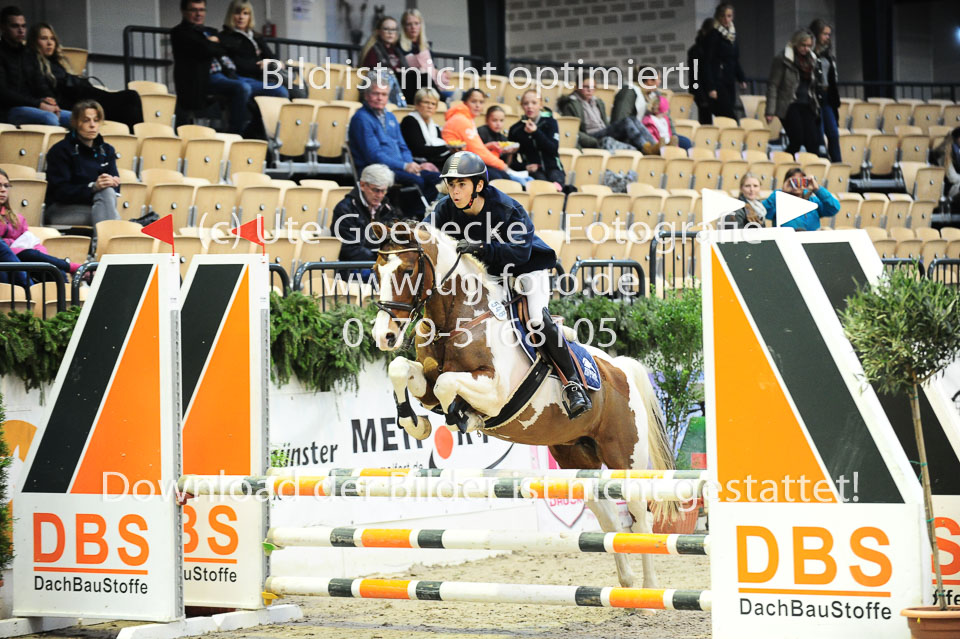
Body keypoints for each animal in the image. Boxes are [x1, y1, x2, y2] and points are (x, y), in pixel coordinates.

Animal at [369, 220, 676, 590]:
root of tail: (620, 369)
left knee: (640, 515)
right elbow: (402, 370)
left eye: (408, 271)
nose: (383, 336)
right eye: (376, 272)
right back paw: (628, 585)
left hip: (625, 457)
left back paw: (650, 589)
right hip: (576, 455)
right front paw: (417, 424)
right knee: (607, 517)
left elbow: (447, 386)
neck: (459, 319)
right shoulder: (426, 382)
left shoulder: (496, 389)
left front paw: (464, 417)